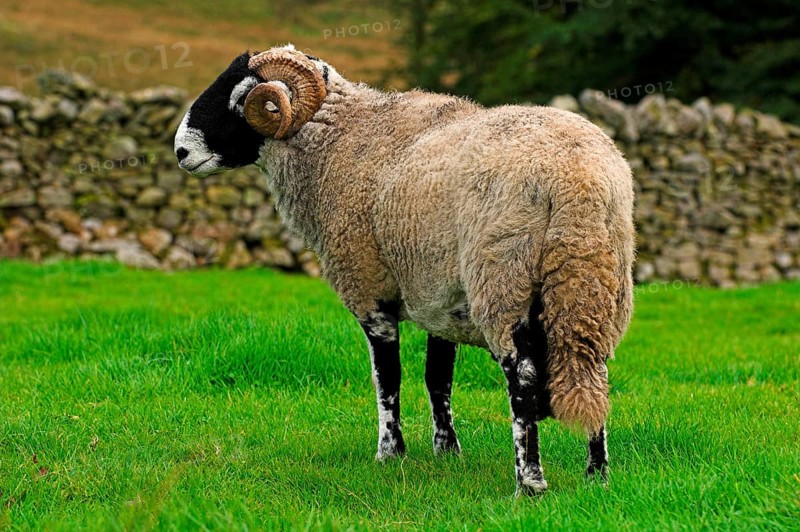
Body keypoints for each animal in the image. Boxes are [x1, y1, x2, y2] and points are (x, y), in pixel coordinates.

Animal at [174, 44, 635, 495]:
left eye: (240, 99)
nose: (181, 152)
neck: (341, 141)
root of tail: (576, 182)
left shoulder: (369, 288)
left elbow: (387, 378)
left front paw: (390, 453)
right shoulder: (440, 296)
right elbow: (438, 378)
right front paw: (447, 451)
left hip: (504, 276)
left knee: (521, 376)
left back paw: (530, 482)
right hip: (595, 282)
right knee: (592, 370)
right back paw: (597, 476)